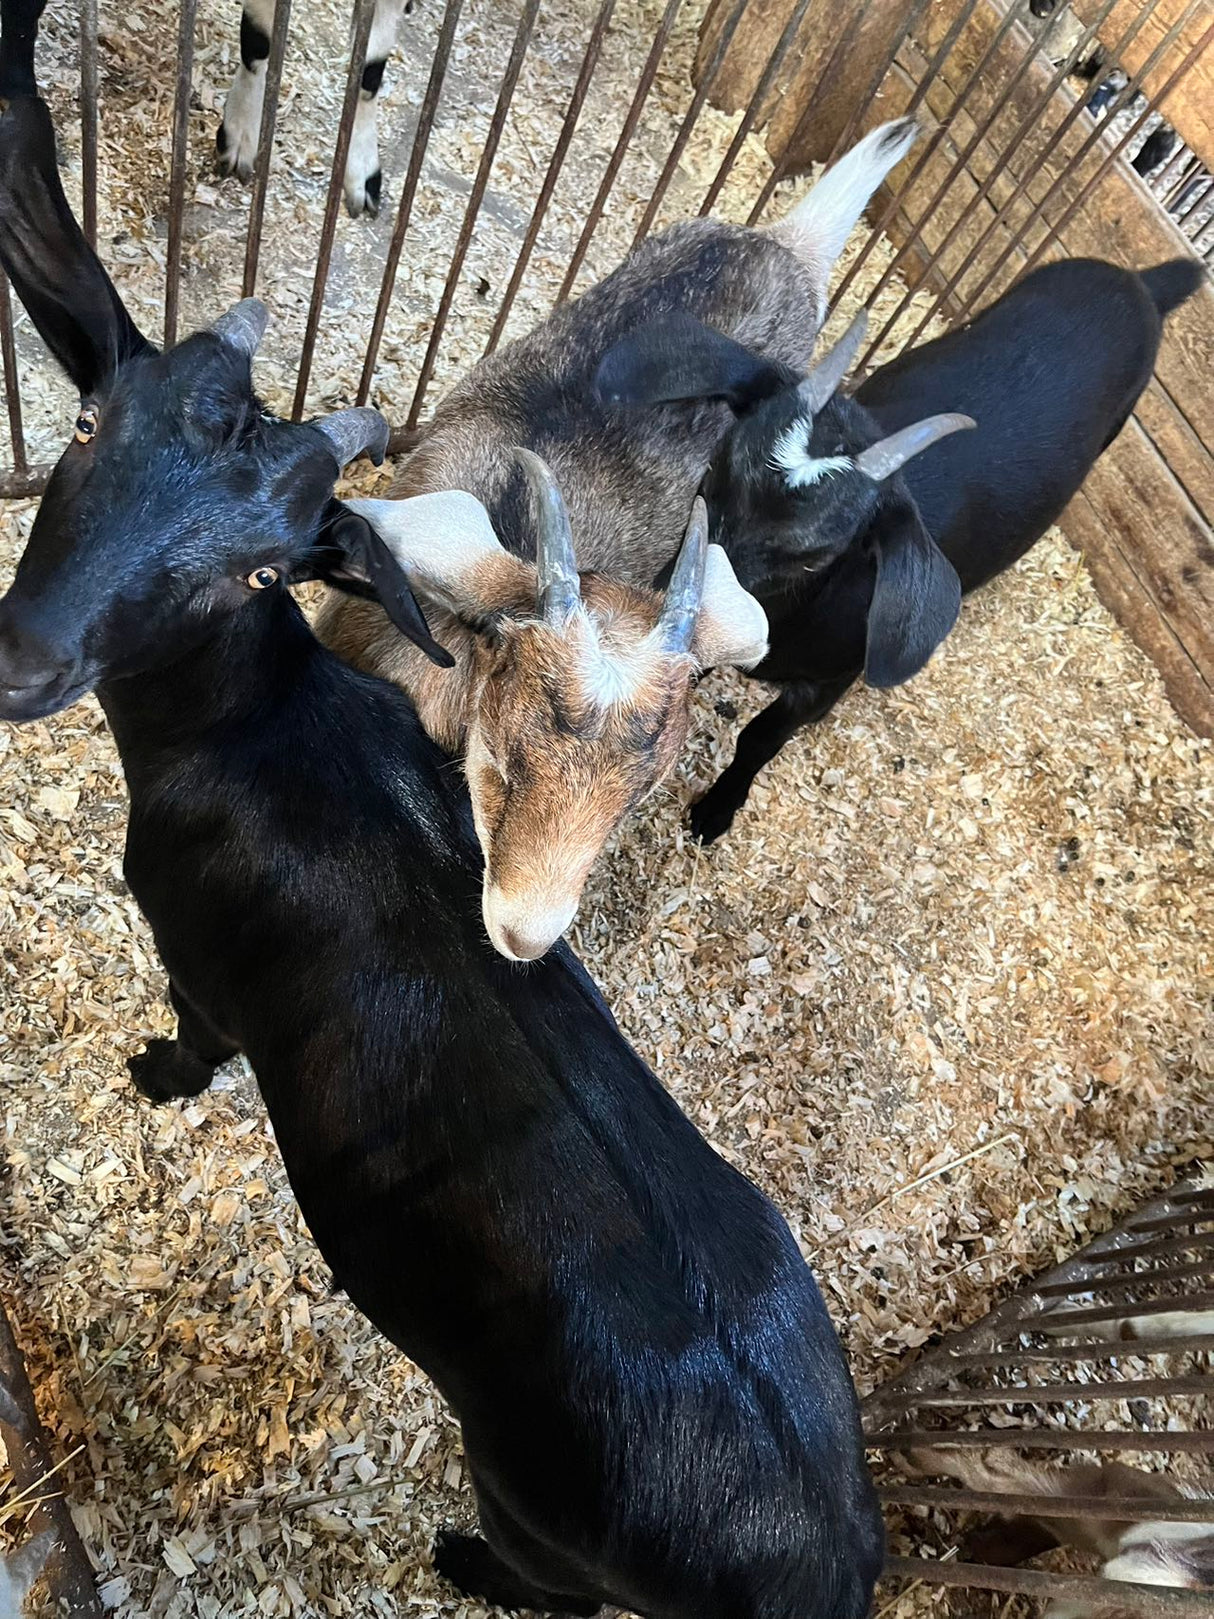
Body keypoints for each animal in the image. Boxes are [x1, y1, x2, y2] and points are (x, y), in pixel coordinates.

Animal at [594, 254, 1204, 843]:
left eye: (814, 556)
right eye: (710, 475)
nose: (675, 601)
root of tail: (1139, 281)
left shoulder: (826, 685)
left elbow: (759, 739)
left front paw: (716, 812)